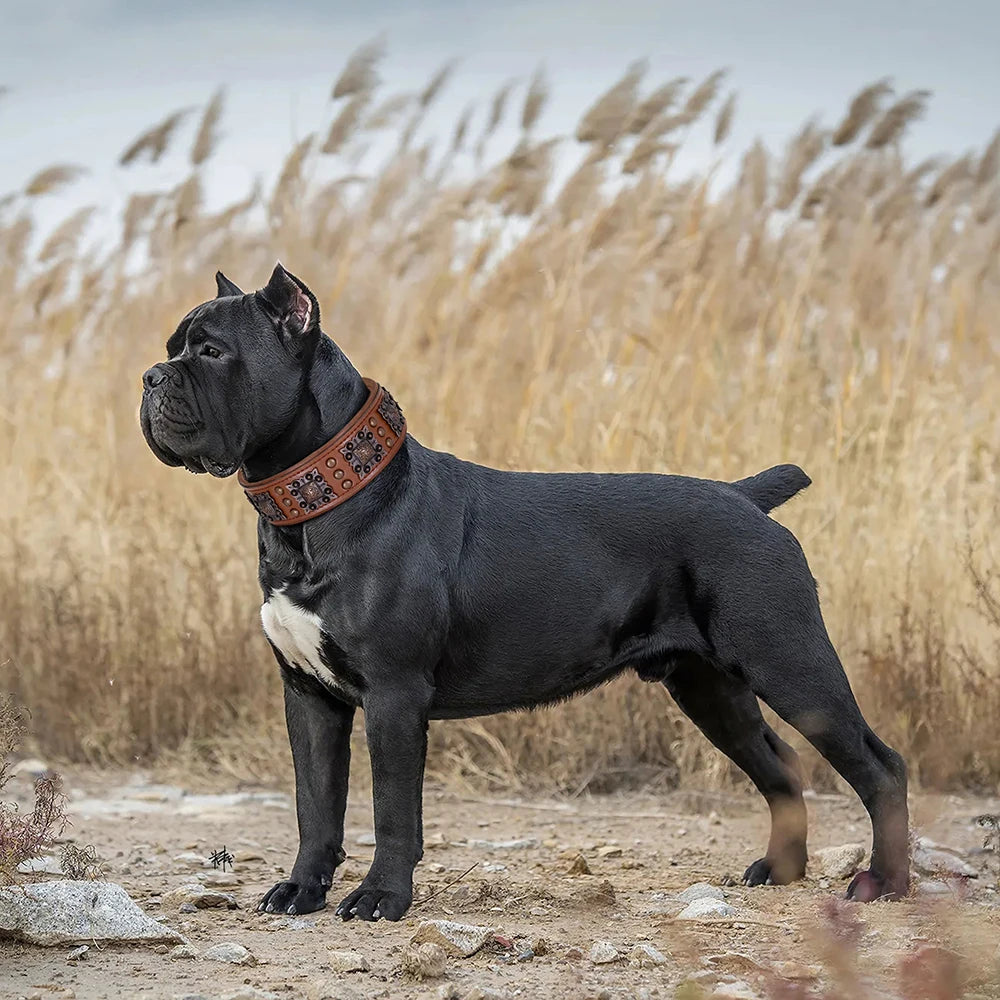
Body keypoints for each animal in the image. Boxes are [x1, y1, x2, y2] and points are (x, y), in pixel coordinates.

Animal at [143, 266, 916, 920]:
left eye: (210, 351)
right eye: (173, 347)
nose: (151, 376)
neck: (314, 506)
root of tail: (746, 498)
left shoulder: (393, 694)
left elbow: (392, 811)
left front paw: (380, 898)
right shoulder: (309, 696)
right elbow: (316, 805)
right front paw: (301, 889)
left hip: (791, 664)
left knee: (879, 766)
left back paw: (885, 883)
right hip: (709, 687)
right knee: (780, 766)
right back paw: (781, 870)